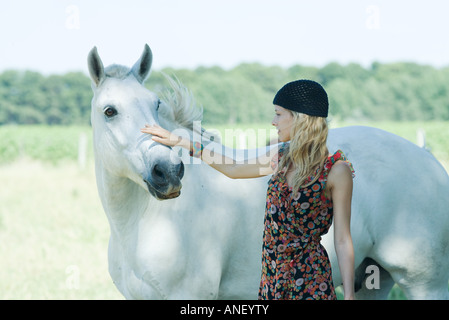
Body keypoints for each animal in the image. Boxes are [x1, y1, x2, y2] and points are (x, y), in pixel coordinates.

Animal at [88, 43, 448, 298]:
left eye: (155, 104)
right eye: (110, 111)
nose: (169, 172)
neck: (141, 222)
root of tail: (428, 160)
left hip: (426, 286)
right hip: (373, 280)